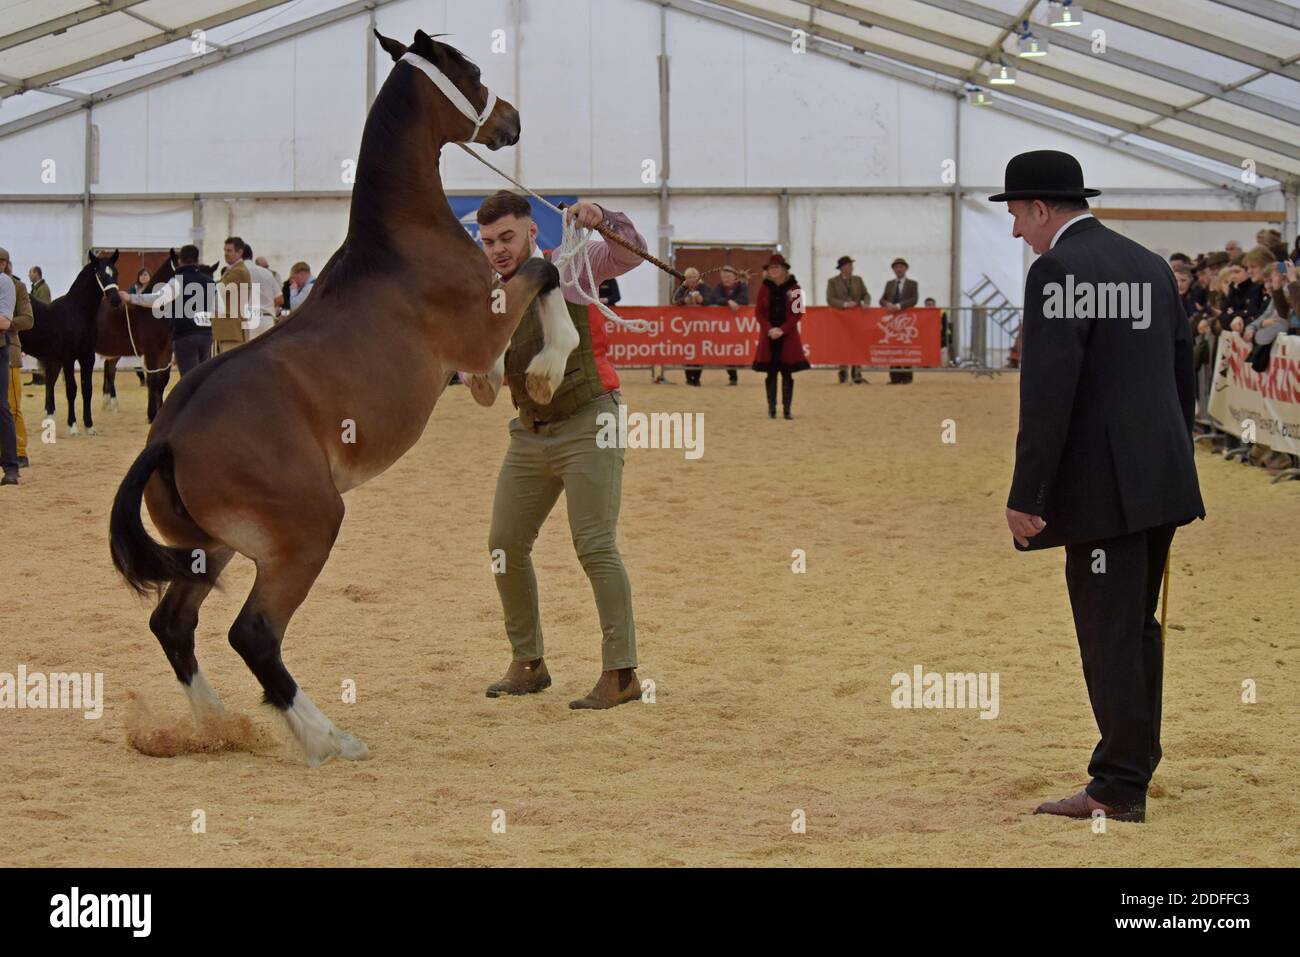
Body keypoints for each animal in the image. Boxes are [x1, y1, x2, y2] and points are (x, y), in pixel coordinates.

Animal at [21, 250, 122, 435]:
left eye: (116, 273)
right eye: (100, 274)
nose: (116, 300)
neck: (77, 314)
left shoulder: (87, 357)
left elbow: (87, 389)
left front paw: (89, 426)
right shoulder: (68, 358)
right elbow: (71, 389)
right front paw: (73, 426)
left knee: (50, 384)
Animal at [109, 28, 558, 766]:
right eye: (471, 69)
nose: (513, 120)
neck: (403, 241)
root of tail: (166, 437)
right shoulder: (483, 325)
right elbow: (545, 271)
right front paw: (545, 365)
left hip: (212, 549)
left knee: (173, 623)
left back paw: (221, 726)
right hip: (309, 529)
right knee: (253, 633)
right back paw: (328, 738)